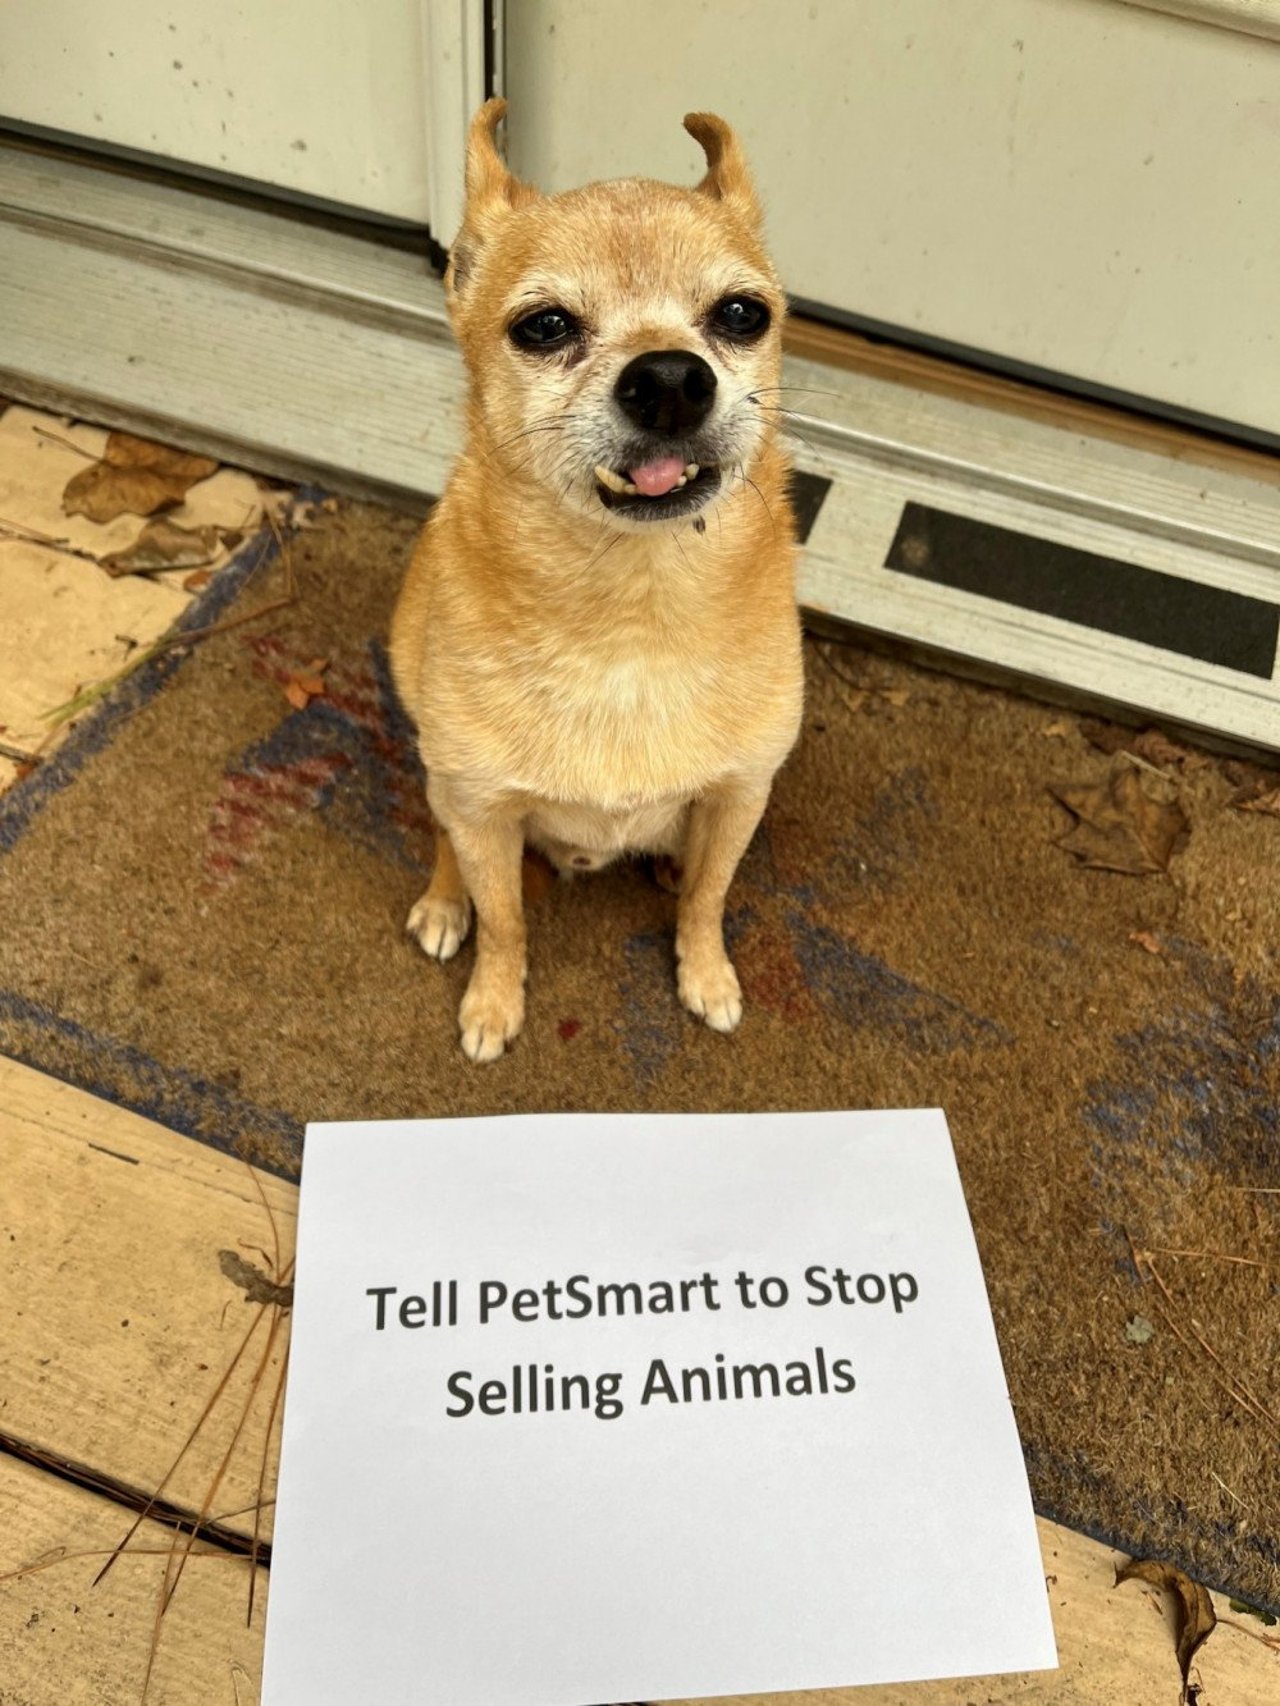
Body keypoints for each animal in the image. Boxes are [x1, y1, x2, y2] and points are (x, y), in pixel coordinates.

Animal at [395, 99, 805, 1057]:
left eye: (742, 315)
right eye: (543, 327)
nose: (671, 377)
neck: (631, 612)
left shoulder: (740, 797)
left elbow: (710, 897)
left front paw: (705, 972)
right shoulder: (482, 809)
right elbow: (507, 920)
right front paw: (494, 1002)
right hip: (441, 773)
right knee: (442, 835)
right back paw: (444, 902)